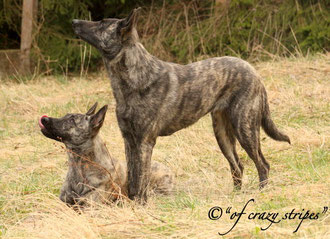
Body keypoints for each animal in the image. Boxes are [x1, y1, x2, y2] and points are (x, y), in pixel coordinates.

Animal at [71, 8, 288, 204]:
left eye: (101, 23)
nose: (74, 21)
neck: (134, 76)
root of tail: (255, 73)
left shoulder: (144, 142)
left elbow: (141, 179)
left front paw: (141, 205)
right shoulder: (129, 140)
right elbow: (132, 178)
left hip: (245, 129)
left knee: (262, 164)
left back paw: (261, 193)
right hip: (222, 133)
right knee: (238, 166)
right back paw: (235, 196)